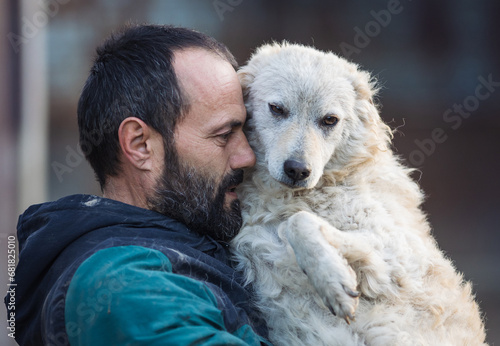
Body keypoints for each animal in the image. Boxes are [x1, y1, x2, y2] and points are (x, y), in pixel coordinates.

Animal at [231, 43, 488, 346]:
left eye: (330, 120)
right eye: (277, 109)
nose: (297, 170)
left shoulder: (396, 256)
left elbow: (298, 222)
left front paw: (331, 281)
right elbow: (298, 222)